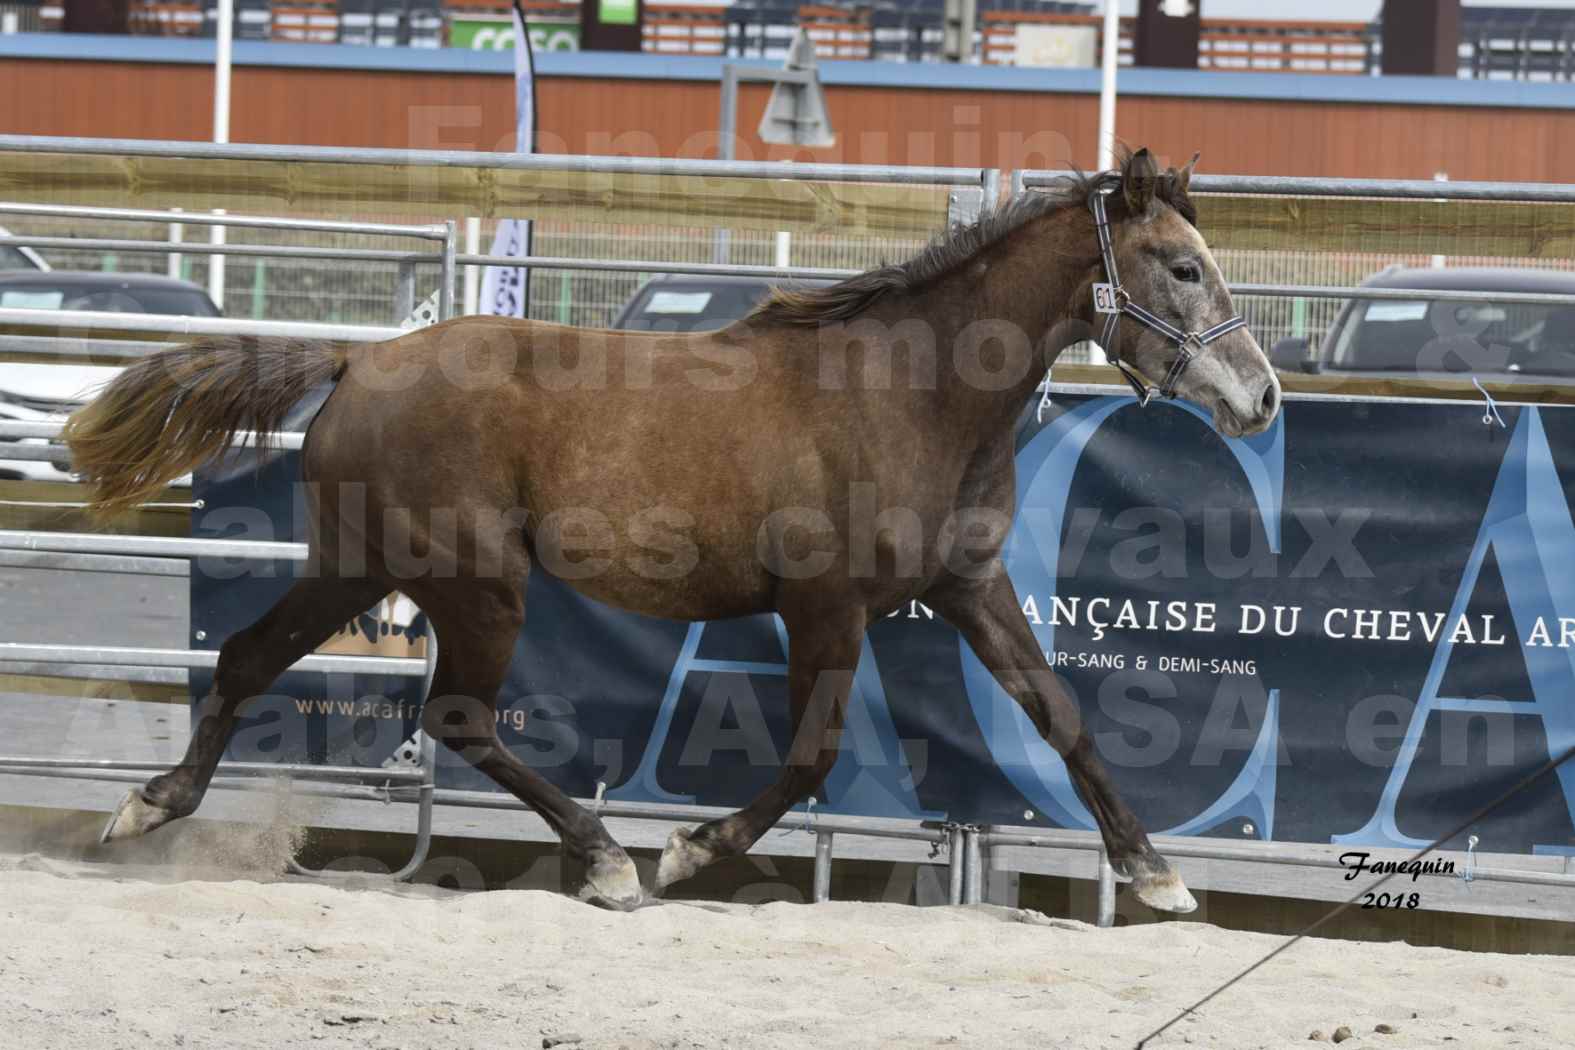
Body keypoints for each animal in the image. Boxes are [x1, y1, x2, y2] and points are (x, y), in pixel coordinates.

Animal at [67, 147, 1285, 913]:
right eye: (1183, 266)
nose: (1262, 399)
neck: (910, 390)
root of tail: (358, 361)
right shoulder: (825, 606)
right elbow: (810, 755)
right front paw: (693, 850)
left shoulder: (969, 588)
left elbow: (1063, 715)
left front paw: (1158, 875)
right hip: (476, 581)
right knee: (457, 717)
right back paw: (608, 860)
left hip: (360, 565)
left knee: (248, 657)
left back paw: (147, 807)